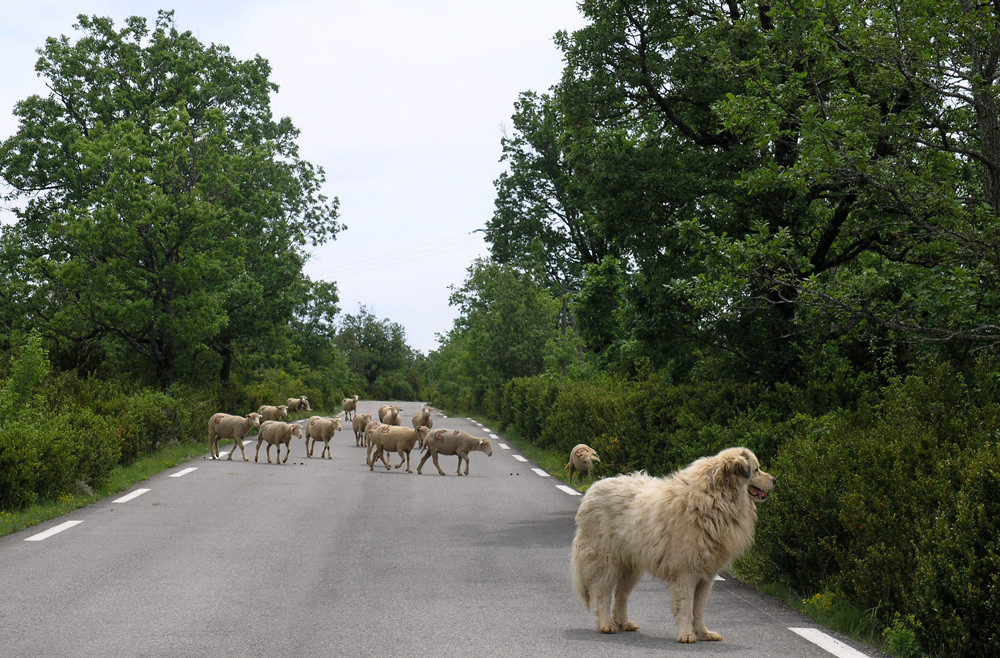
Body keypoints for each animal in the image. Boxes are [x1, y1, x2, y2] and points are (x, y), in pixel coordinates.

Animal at [572, 446, 772, 640]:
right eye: (756, 469)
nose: (775, 480)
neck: (714, 498)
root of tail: (593, 489)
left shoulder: (706, 576)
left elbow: (699, 608)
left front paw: (703, 633)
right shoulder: (686, 571)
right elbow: (686, 606)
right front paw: (686, 634)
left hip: (631, 567)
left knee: (621, 594)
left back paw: (624, 623)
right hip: (608, 562)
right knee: (603, 593)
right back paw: (606, 625)